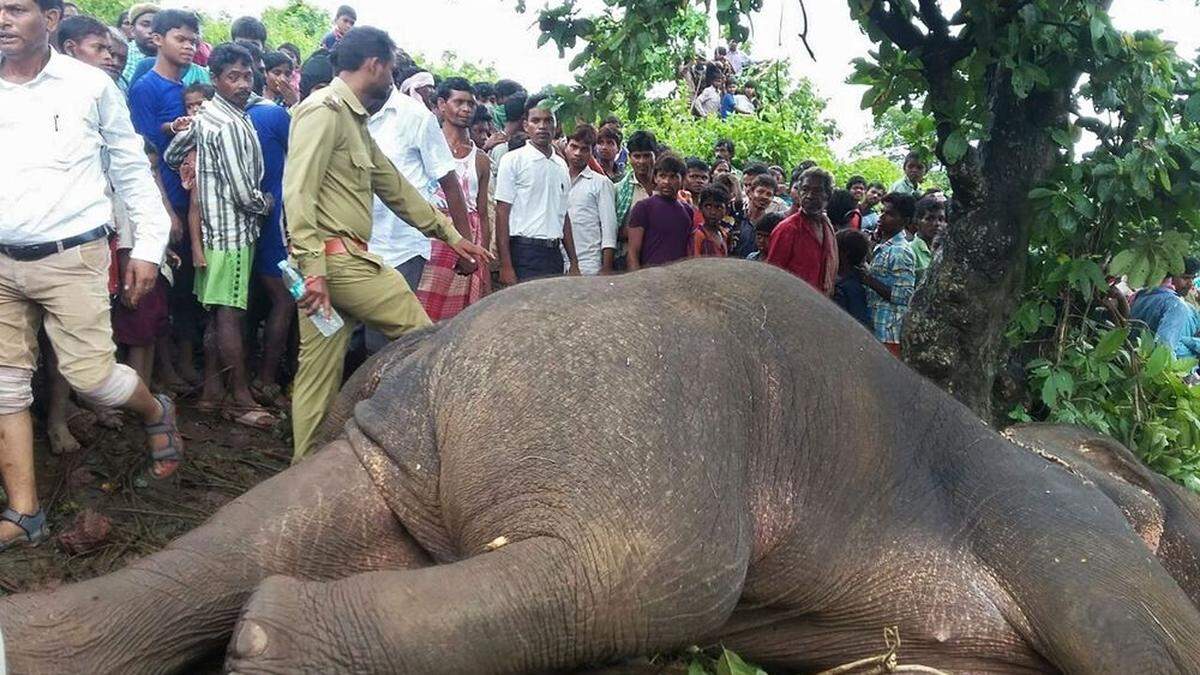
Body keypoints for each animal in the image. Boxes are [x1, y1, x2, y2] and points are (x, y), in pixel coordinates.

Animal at [2, 258, 1200, 672]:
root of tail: (431, 350)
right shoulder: (1062, 518)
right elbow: (1146, 639)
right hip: (637, 431)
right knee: (639, 582)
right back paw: (268, 646)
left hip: (425, 437)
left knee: (278, 529)